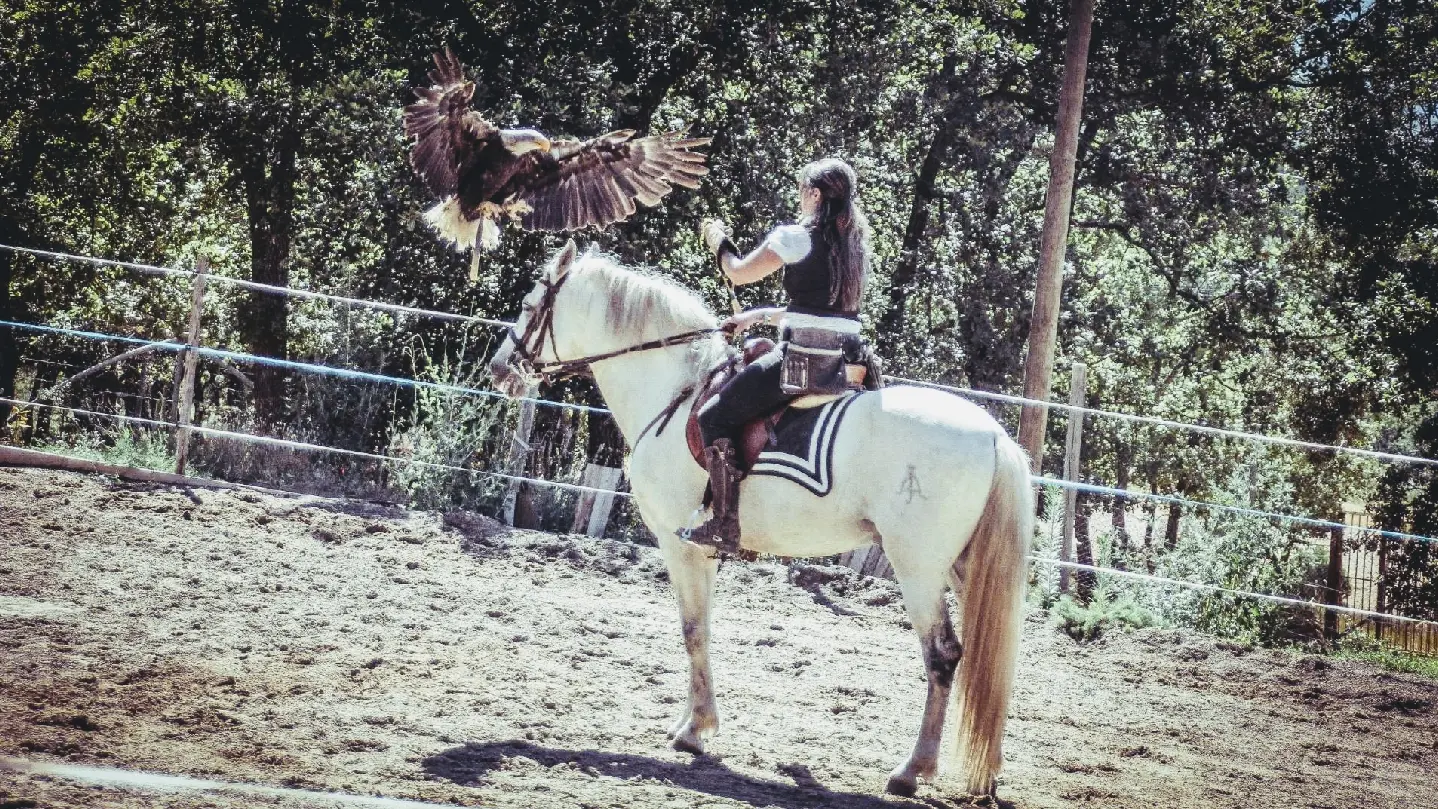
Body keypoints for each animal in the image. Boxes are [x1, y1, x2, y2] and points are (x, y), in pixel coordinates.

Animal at [488, 242, 1029, 798]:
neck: (676, 389)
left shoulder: (681, 545)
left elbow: (692, 629)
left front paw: (695, 731)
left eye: (529, 305)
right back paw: (985, 772)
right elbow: (702, 628)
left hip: (918, 568)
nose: (499, 368)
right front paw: (692, 721)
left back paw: (911, 770)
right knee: (991, 660)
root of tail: (993, 435)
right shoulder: (704, 550)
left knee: (942, 655)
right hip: (962, 568)